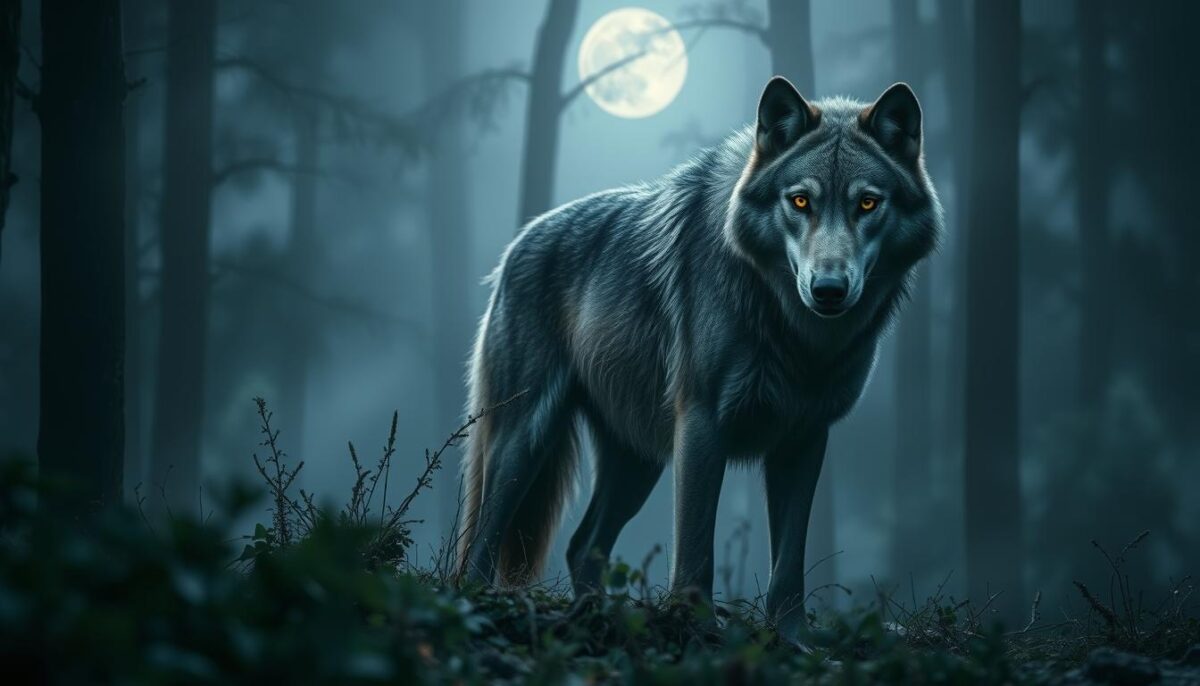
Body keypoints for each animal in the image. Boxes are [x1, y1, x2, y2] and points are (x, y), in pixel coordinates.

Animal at [457, 76, 942, 641]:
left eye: (867, 204)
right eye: (800, 201)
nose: (828, 289)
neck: (792, 332)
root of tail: (519, 240)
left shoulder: (805, 437)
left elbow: (790, 560)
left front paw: (793, 637)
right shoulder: (702, 423)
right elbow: (696, 546)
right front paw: (697, 627)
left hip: (638, 462)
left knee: (582, 546)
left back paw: (594, 614)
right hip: (527, 437)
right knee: (482, 539)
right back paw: (478, 604)